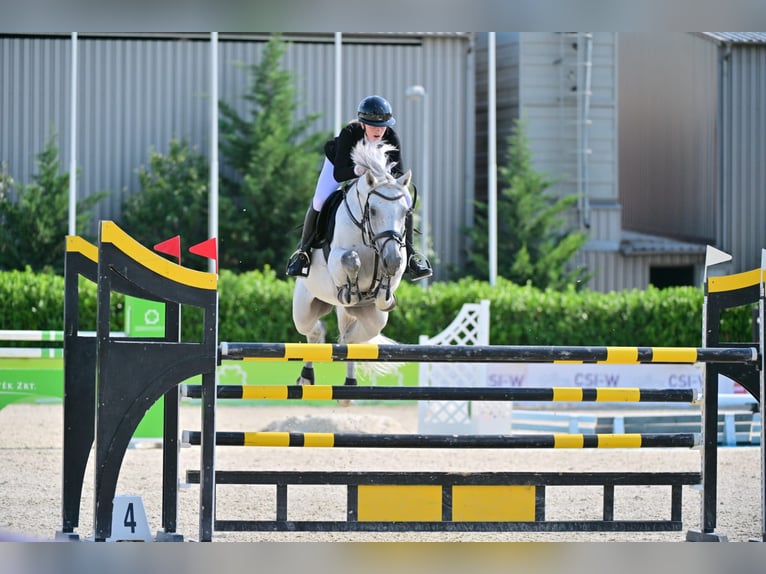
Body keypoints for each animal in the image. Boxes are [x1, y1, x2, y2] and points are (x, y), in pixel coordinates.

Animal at [292, 140, 412, 388]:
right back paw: (307, 377)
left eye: (405, 212)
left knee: (350, 340)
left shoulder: (398, 259)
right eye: (373, 210)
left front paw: (383, 288)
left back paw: (349, 384)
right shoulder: (337, 258)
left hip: (370, 319)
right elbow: (351, 259)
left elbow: (388, 283)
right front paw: (351, 290)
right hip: (304, 308)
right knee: (314, 332)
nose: (391, 259)